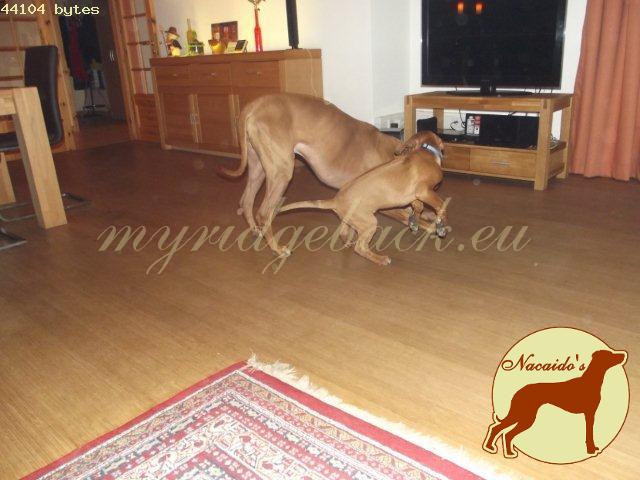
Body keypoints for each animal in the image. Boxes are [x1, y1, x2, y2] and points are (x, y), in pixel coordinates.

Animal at [277, 142, 447, 265]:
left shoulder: (416, 195)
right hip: (369, 222)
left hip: (351, 220)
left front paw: (416, 221)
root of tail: (336, 200)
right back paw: (380, 259)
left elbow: (418, 207)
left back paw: (349, 243)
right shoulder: (425, 191)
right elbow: (440, 205)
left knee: (344, 233)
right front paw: (439, 224)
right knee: (360, 248)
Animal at [483, 349, 627, 458]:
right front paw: (591, 450)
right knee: (501, 430)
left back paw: (502, 450)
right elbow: (589, 434)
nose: (624, 355)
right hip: (525, 416)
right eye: (610, 354)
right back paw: (495, 449)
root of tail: (519, 391)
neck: (590, 381)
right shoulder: (589, 414)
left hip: (522, 415)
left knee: (503, 431)